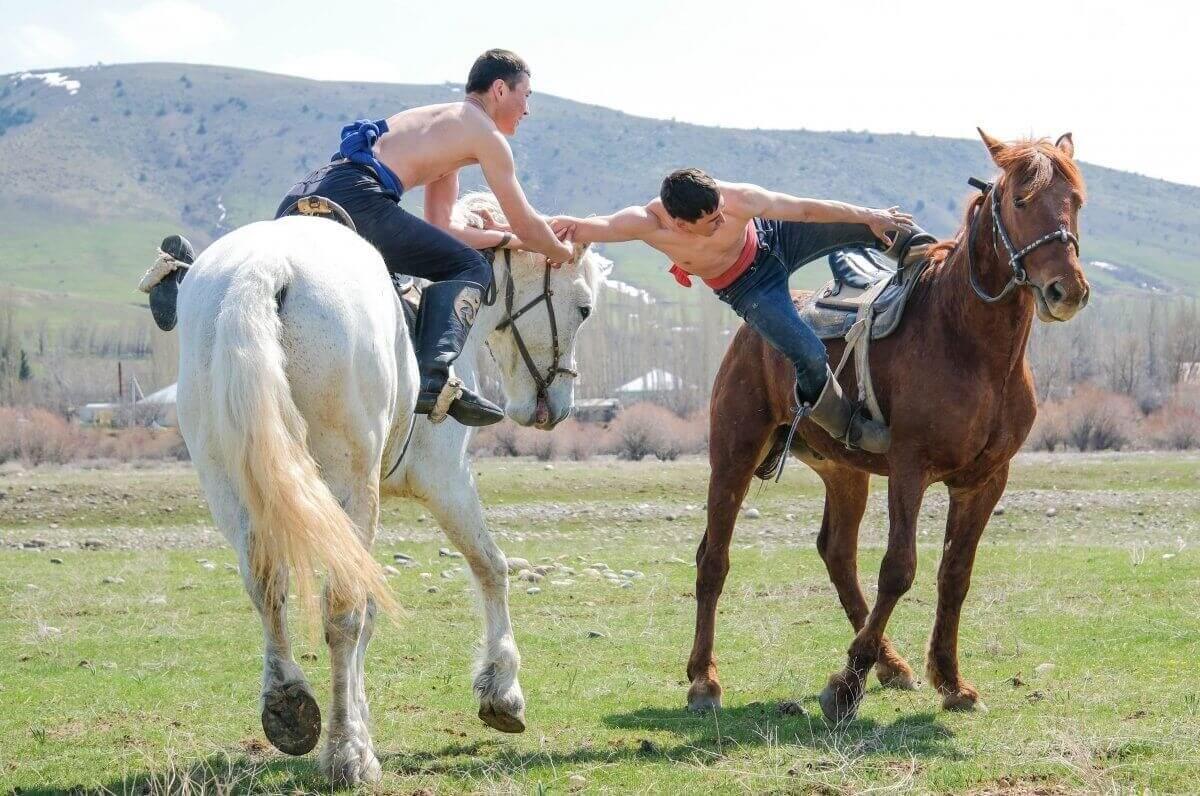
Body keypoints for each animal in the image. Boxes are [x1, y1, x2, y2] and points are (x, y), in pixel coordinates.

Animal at [172, 193, 609, 782]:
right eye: (583, 308)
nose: (555, 408)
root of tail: (263, 271)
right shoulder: (445, 479)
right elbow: (489, 567)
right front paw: (501, 693)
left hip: (233, 484)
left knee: (267, 589)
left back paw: (290, 708)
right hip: (349, 483)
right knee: (342, 610)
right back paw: (346, 752)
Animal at [686, 129, 1089, 720]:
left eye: (1075, 201)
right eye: (1020, 201)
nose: (1067, 290)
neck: (969, 343)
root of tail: (749, 330)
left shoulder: (985, 480)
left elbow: (955, 574)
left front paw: (949, 680)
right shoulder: (909, 468)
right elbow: (899, 569)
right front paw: (845, 686)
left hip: (844, 473)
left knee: (837, 554)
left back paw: (890, 663)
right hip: (734, 452)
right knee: (713, 558)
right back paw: (703, 679)